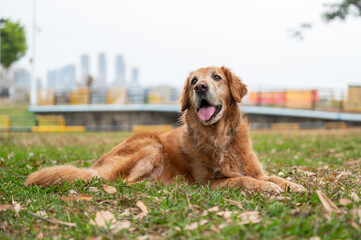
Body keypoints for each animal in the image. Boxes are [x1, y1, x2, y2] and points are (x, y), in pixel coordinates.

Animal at [25, 66, 306, 193]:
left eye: (216, 77)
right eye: (193, 81)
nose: (200, 87)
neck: (220, 137)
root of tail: (96, 167)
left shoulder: (255, 169)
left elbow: (272, 177)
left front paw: (293, 185)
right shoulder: (209, 182)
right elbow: (242, 179)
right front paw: (269, 189)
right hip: (151, 144)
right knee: (125, 182)